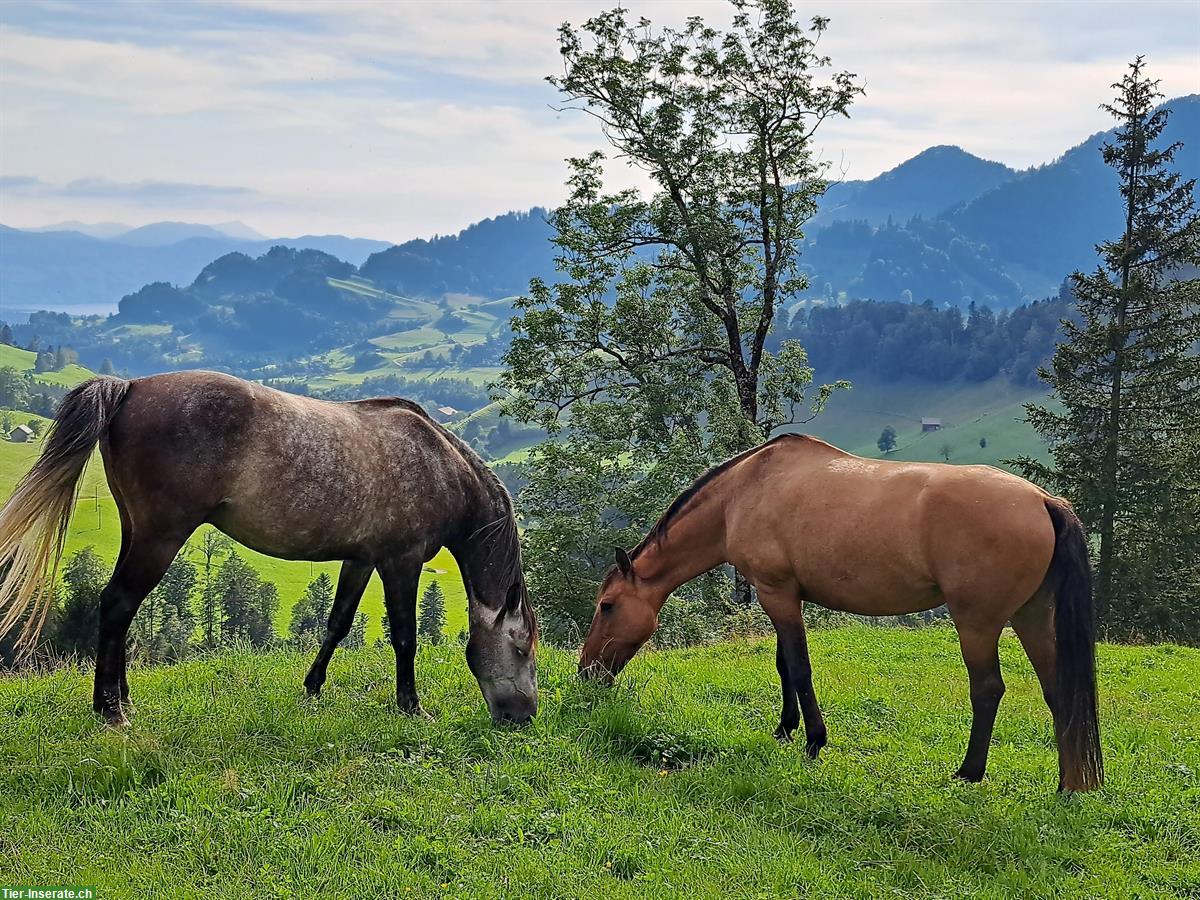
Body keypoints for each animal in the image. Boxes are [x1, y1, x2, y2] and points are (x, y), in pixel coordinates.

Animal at [0, 369, 540, 729]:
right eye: (521, 648)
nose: (523, 717)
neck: (437, 465)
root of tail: (130, 386)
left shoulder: (361, 559)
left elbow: (338, 624)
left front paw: (312, 688)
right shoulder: (400, 562)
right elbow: (405, 636)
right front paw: (411, 705)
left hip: (137, 531)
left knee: (122, 611)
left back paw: (123, 700)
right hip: (160, 538)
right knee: (116, 604)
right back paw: (110, 710)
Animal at [580, 434, 1104, 792]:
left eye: (607, 606)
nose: (586, 673)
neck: (744, 493)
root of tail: (1043, 500)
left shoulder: (776, 594)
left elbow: (799, 668)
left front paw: (814, 739)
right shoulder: (782, 595)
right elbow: (783, 667)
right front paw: (785, 728)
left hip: (977, 622)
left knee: (989, 689)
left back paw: (969, 772)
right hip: (1032, 616)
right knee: (1059, 692)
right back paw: (1069, 785)